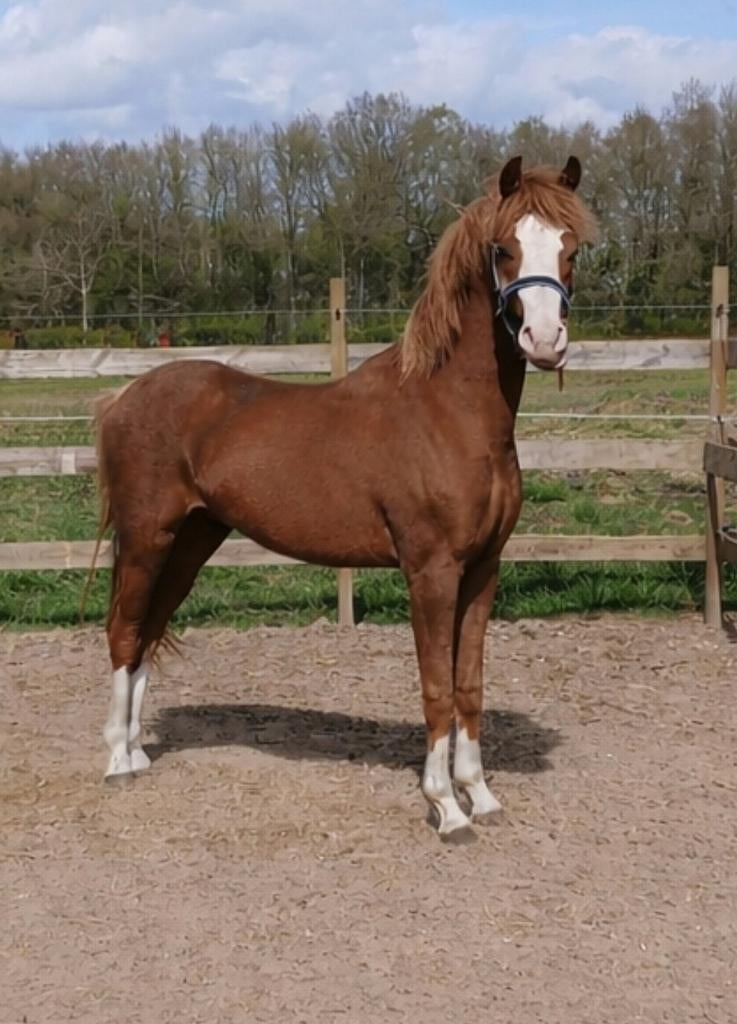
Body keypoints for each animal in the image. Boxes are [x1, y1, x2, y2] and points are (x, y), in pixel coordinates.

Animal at [93, 155, 596, 843]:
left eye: (572, 247)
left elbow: (469, 685)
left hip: (193, 541)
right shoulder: (431, 571)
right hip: (148, 538)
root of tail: (125, 396)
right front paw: (446, 808)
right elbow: (437, 688)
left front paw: (481, 795)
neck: (447, 412)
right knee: (124, 631)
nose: (545, 341)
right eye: (503, 248)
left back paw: (140, 751)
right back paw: (118, 762)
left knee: (148, 630)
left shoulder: (483, 569)